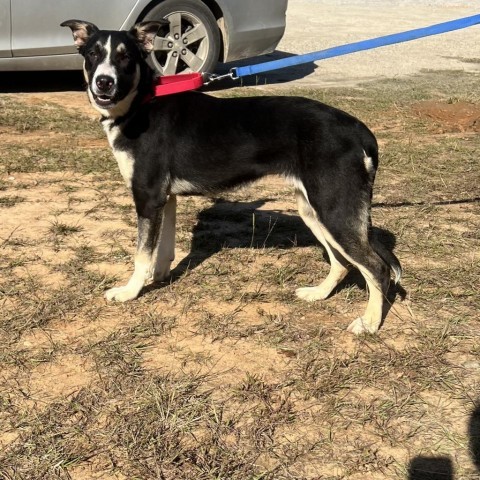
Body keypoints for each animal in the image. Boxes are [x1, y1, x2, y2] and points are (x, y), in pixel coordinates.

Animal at [62, 18, 402, 334]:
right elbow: (163, 249)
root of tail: (359, 130)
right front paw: (160, 277)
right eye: (92, 54)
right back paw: (318, 294)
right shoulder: (165, 198)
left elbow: (141, 255)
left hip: (334, 210)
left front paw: (130, 291)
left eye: (125, 57)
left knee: (377, 268)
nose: (104, 83)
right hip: (314, 210)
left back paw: (370, 323)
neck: (141, 101)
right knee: (342, 262)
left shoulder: (147, 197)